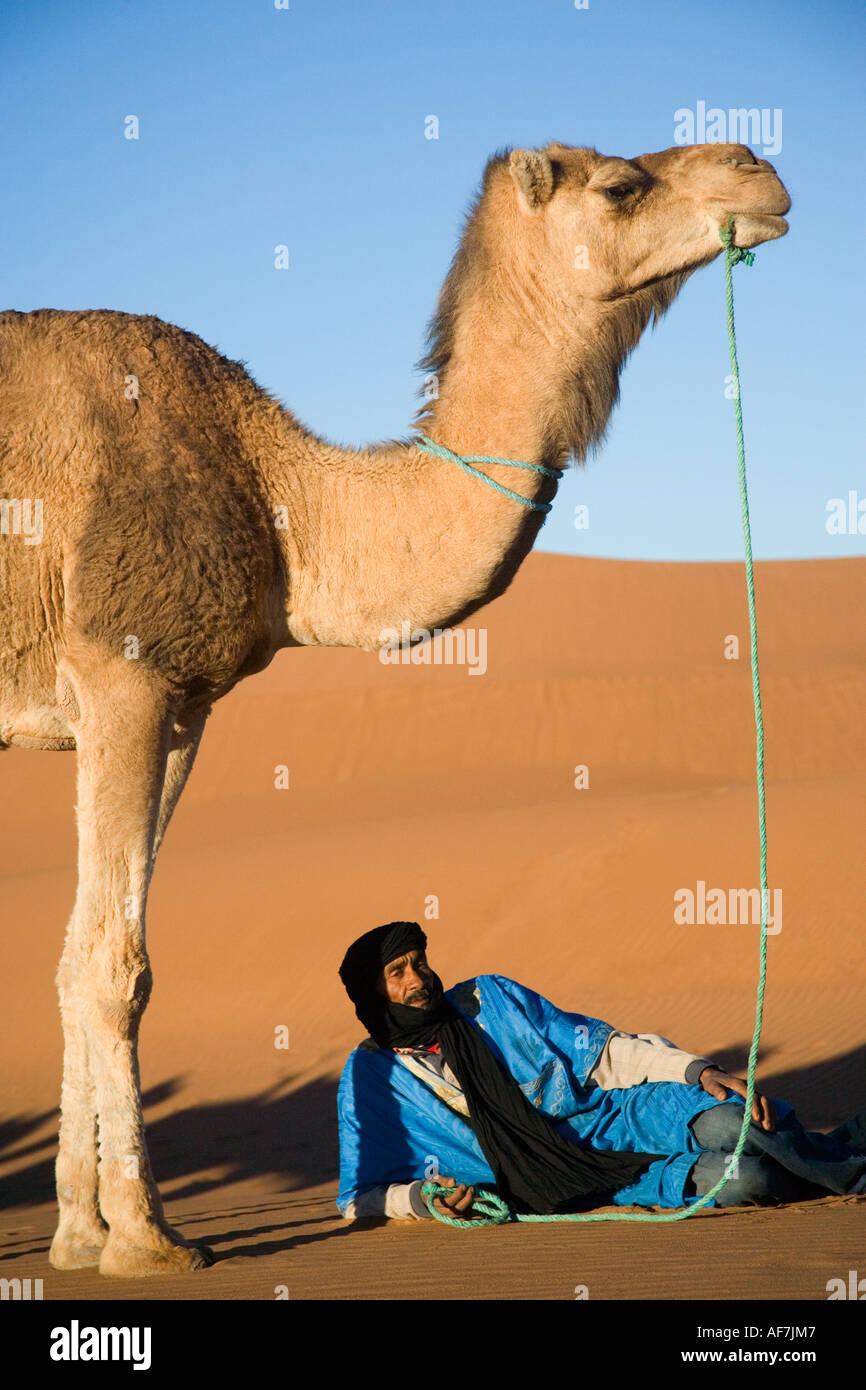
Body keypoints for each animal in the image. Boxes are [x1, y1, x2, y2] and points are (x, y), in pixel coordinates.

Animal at [0, 135, 795, 1273]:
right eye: (619, 185)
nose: (756, 168)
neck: (283, 501)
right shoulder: (127, 668)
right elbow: (118, 960)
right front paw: (148, 1241)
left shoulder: (180, 706)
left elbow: (73, 955)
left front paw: (74, 1237)